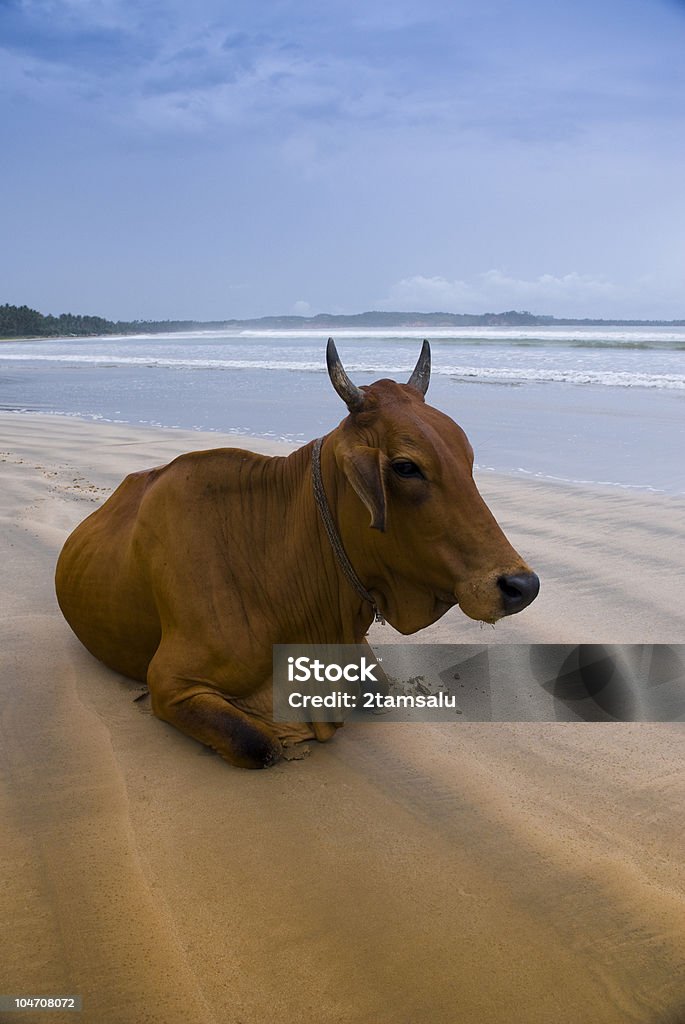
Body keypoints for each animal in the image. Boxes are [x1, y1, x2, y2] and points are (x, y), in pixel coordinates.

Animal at [56, 342, 536, 770]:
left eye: (467, 459)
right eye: (405, 466)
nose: (522, 586)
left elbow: (379, 688)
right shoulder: (171, 682)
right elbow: (260, 745)